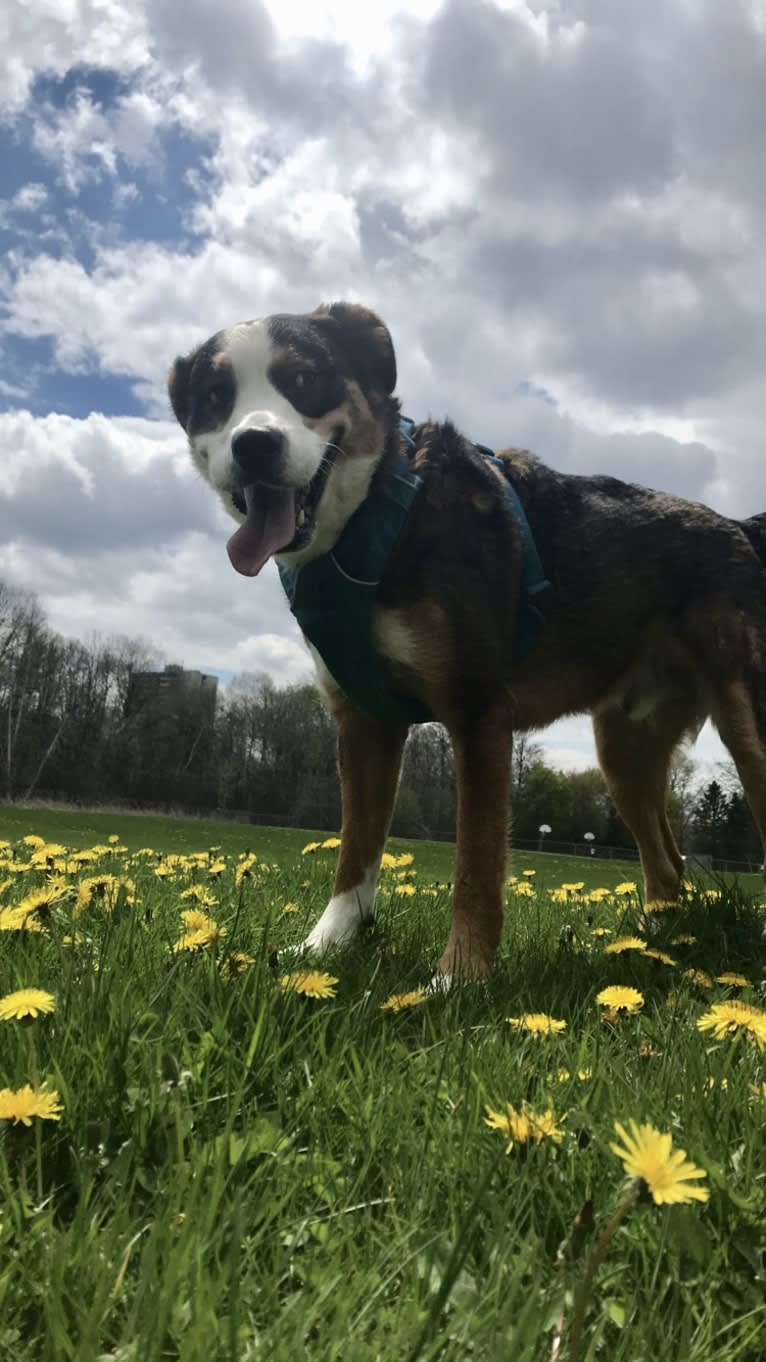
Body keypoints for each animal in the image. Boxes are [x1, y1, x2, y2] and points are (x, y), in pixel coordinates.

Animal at [168, 303, 763, 980]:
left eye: (303, 380)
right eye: (216, 397)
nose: (255, 443)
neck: (380, 518)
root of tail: (740, 528)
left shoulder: (479, 714)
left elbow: (475, 864)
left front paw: (462, 975)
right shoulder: (363, 722)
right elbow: (354, 851)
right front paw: (326, 947)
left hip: (750, 730)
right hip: (624, 750)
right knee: (668, 866)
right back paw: (648, 946)